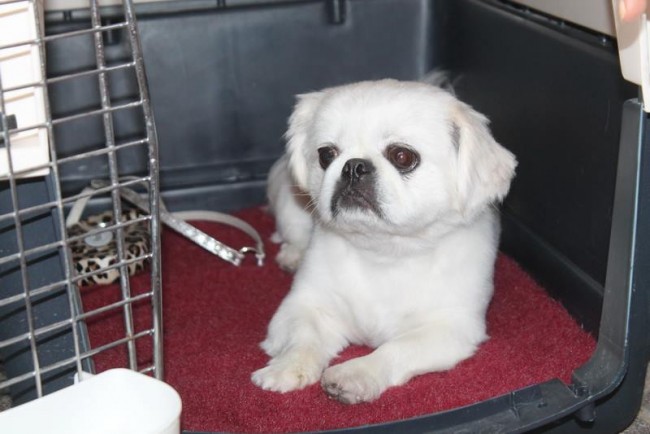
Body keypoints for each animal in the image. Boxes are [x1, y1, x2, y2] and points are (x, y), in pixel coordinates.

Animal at [251, 78, 512, 404]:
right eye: (326, 155)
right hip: (290, 204)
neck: (385, 252)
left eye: (402, 156)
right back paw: (292, 256)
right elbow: (303, 339)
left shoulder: (451, 327)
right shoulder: (304, 305)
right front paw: (286, 369)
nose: (353, 166)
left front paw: (355, 375)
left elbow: (395, 349)